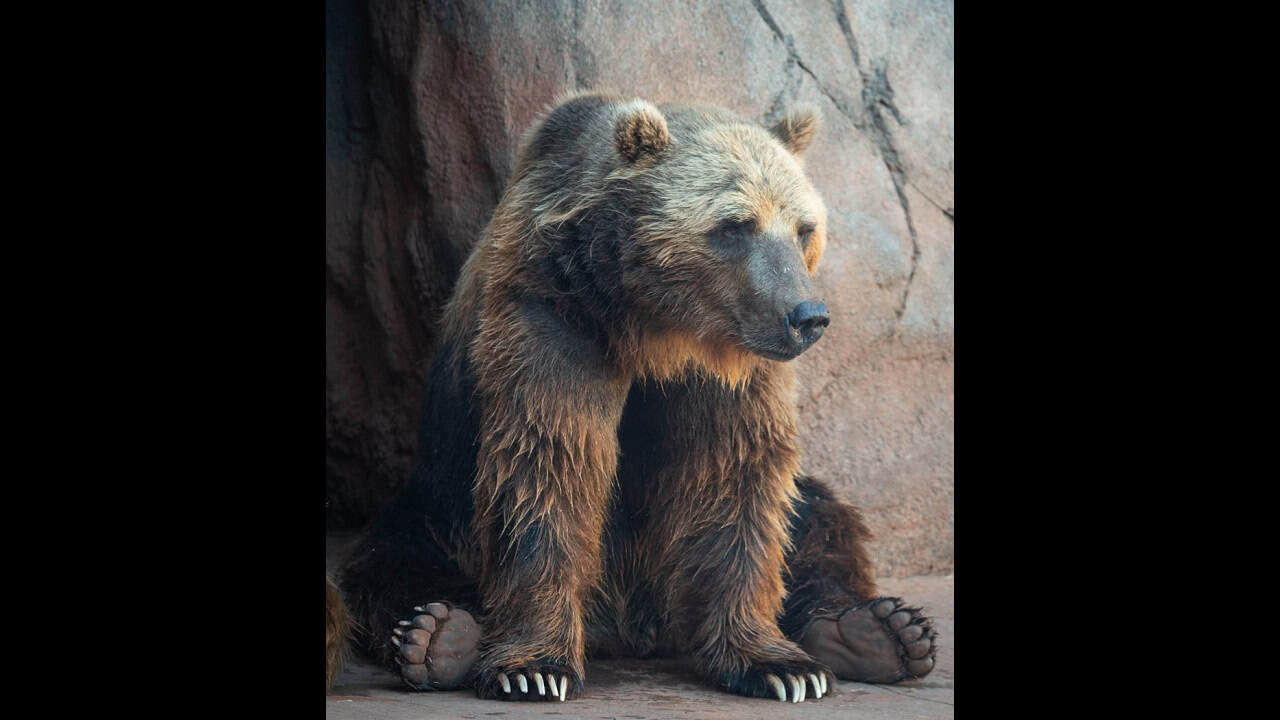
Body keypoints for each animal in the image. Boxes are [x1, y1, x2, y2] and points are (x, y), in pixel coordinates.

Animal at [327, 91, 937, 703]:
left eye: (803, 228)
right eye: (736, 225)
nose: (806, 316)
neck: (658, 328)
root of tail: (636, 628)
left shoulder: (731, 369)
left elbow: (738, 481)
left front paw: (779, 666)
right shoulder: (555, 317)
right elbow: (550, 464)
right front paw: (534, 667)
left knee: (819, 522)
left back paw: (878, 632)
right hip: (439, 500)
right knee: (394, 561)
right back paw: (440, 635)